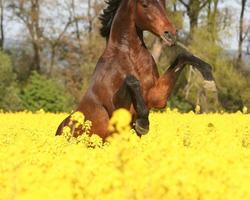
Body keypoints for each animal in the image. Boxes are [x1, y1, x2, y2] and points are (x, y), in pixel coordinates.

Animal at [55, 0, 214, 139]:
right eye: (144, 4)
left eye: (163, 3)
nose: (171, 34)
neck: (131, 57)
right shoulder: (116, 107)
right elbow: (131, 80)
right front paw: (143, 123)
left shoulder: (157, 97)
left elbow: (183, 56)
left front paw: (209, 80)